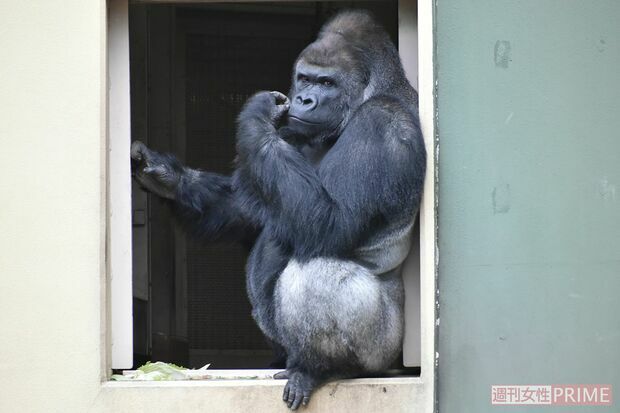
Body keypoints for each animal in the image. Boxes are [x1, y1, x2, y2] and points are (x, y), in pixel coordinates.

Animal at [131, 9, 426, 408]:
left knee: (316, 270)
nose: (303, 100)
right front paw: (168, 176)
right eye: (304, 78)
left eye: (326, 82)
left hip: (383, 350)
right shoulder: (291, 135)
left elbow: (331, 223)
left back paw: (322, 368)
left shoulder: (381, 123)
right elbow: (249, 205)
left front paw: (255, 115)